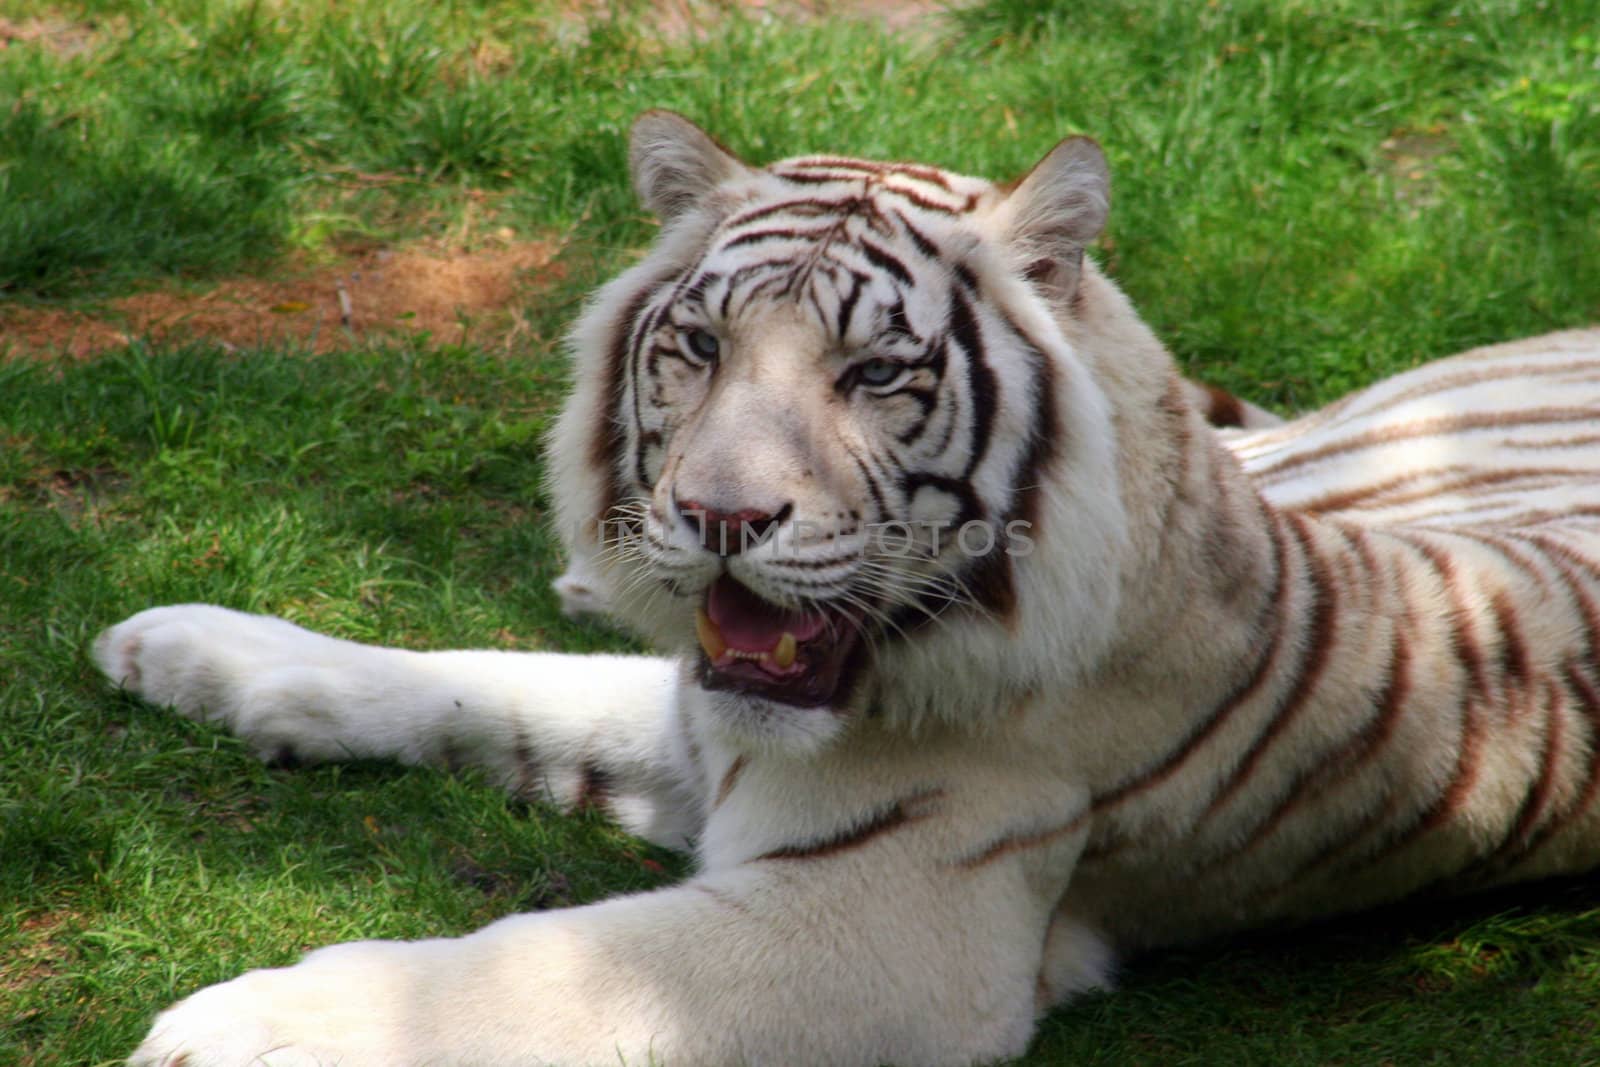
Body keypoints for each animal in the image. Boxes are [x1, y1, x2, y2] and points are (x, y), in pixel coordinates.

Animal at [96, 110, 1600, 1067]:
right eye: (698, 346)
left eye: (874, 374)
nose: (714, 515)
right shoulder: (703, 721)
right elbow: (484, 681)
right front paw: (181, 647)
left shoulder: (885, 917)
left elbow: (529, 960)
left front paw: (238, 1026)